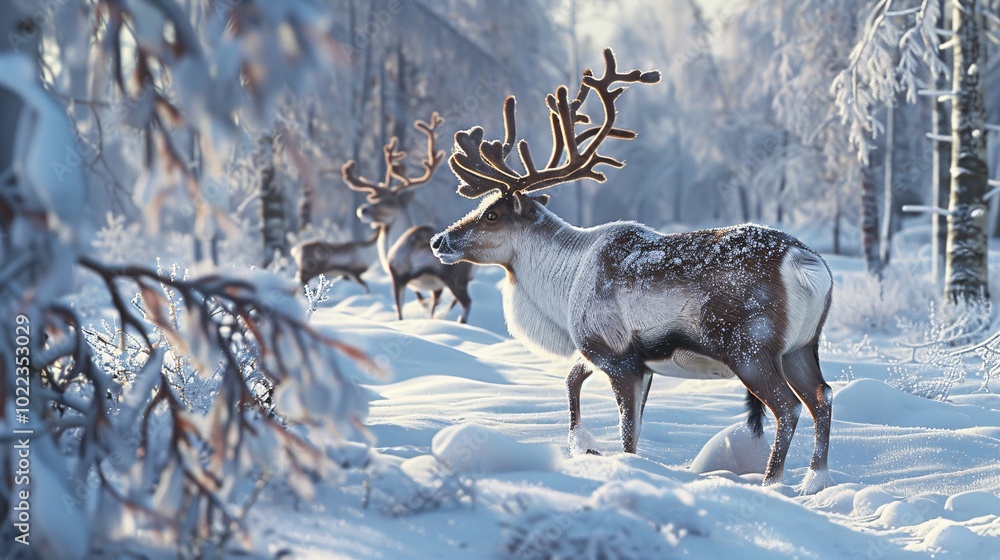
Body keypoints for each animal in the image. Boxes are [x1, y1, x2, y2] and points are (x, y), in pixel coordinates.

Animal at [430, 49, 835, 494]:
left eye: (492, 214)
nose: (439, 241)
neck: (564, 282)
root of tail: (806, 265)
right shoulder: (619, 357)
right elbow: (574, 382)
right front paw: (581, 444)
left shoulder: (616, 356)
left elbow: (626, 431)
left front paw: (614, 462)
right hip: (802, 346)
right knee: (823, 396)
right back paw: (814, 481)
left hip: (751, 349)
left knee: (788, 407)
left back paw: (772, 482)